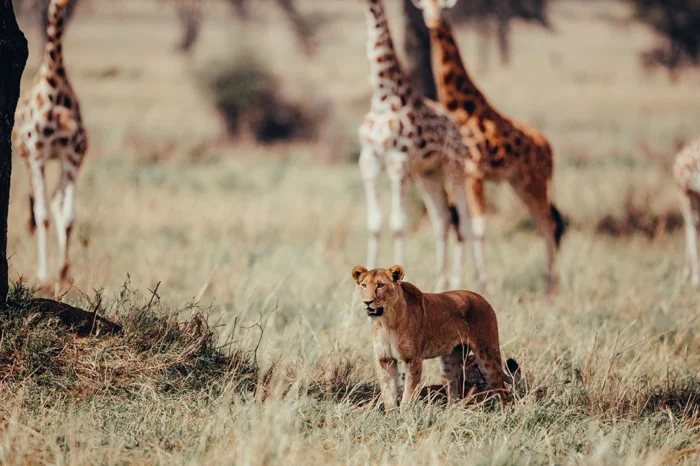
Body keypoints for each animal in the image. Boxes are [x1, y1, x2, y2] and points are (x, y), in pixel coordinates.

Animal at [351, 264, 519, 409]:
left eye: (380, 285)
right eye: (364, 285)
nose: (367, 302)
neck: (387, 321)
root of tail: (482, 298)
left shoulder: (413, 359)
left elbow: (408, 393)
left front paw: (404, 416)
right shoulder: (384, 359)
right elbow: (388, 393)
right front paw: (392, 416)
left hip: (487, 356)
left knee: (502, 389)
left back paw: (504, 415)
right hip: (449, 363)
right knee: (453, 392)